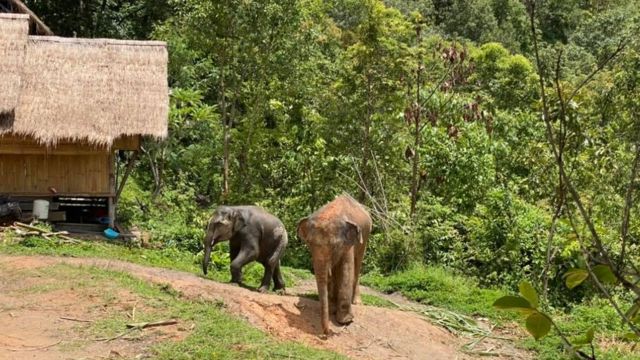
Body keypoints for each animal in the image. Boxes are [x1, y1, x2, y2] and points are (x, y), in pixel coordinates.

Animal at [298, 194, 372, 334]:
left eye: (334, 246)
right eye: (309, 244)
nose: (327, 333)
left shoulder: (348, 243)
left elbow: (346, 269)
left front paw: (345, 321)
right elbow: (330, 272)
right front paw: (332, 310)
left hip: (365, 237)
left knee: (357, 265)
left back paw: (357, 302)